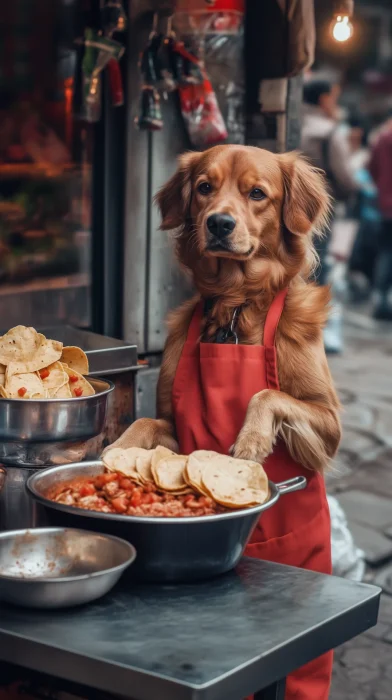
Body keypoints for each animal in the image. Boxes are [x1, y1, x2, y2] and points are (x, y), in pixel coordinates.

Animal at [115, 144, 340, 470]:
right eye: (205, 187)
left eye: (257, 193)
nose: (219, 223)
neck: (236, 301)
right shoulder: (172, 423)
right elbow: (144, 421)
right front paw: (116, 448)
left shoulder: (329, 420)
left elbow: (268, 393)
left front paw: (251, 439)